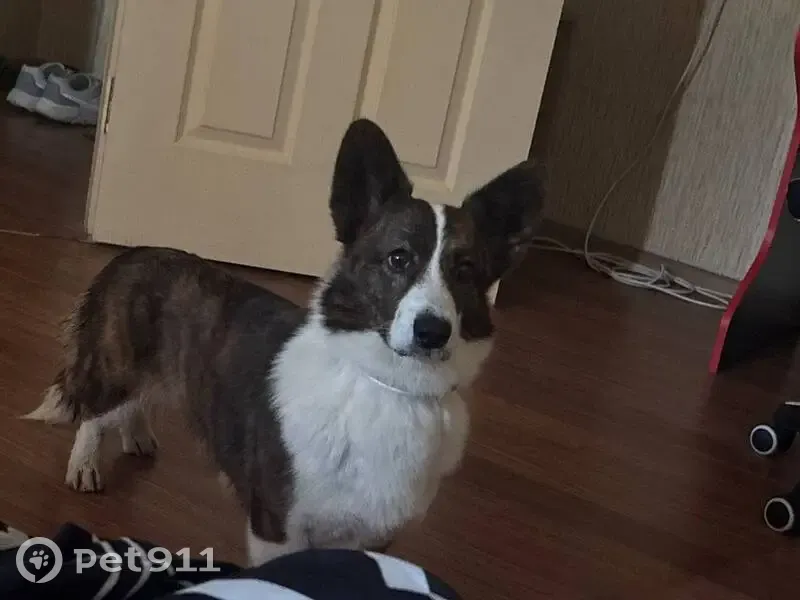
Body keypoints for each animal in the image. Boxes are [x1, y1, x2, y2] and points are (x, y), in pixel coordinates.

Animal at [24, 118, 544, 565]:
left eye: (466, 270)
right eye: (398, 258)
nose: (433, 331)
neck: (390, 386)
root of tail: (132, 254)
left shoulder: (371, 539)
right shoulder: (278, 526)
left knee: (135, 402)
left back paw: (136, 436)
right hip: (117, 366)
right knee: (97, 411)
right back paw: (85, 465)